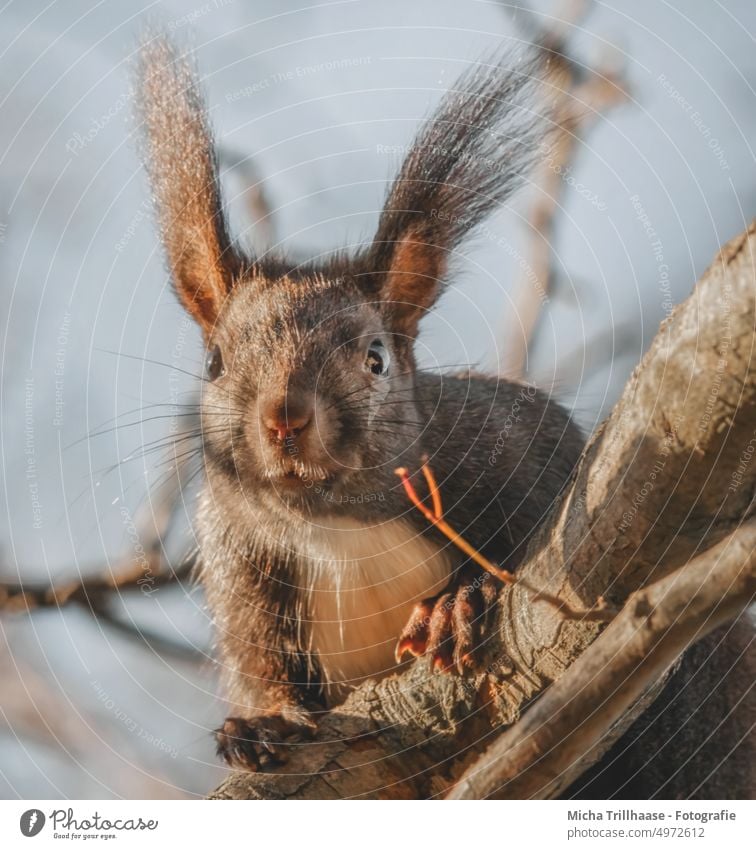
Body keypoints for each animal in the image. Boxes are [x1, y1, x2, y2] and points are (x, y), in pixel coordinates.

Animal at [134, 36, 584, 772]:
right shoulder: (237, 554)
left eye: (376, 357)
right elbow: (257, 657)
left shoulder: (508, 444)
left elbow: (538, 526)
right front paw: (262, 722)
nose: (285, 417)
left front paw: (459, 603)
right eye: (214, 362)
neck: (337, 525)